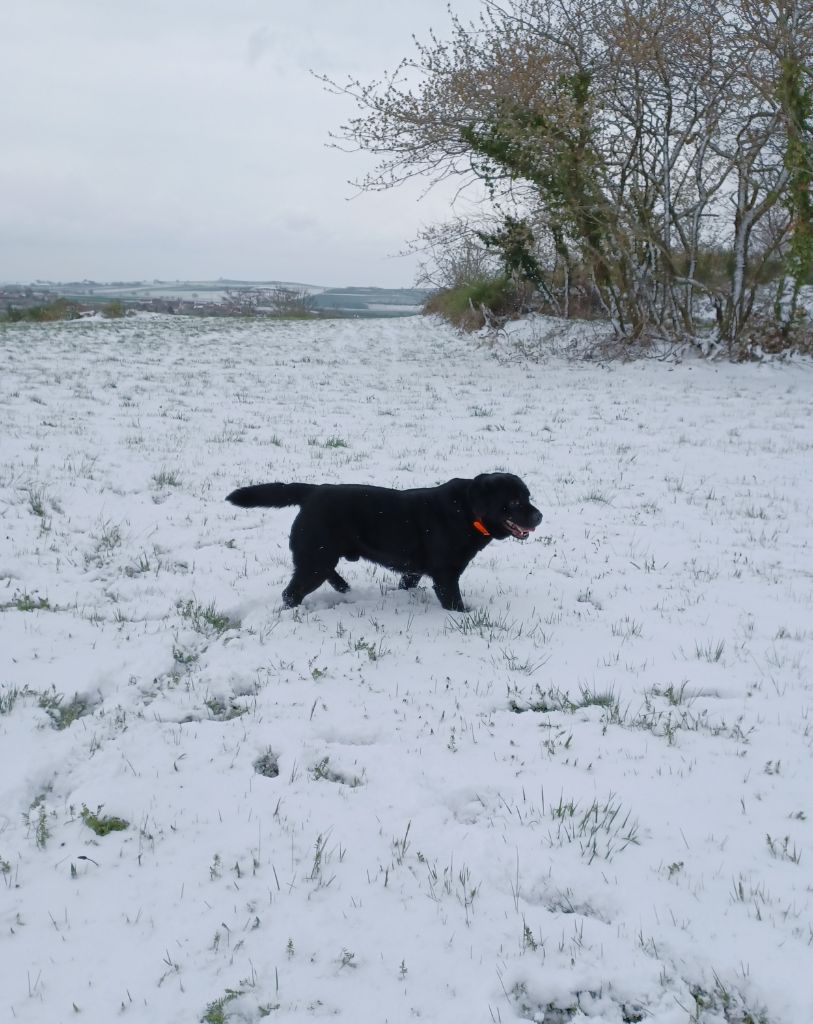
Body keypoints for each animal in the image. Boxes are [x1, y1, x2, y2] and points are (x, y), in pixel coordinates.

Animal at [226, 472, 542, 611]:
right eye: (515, 502)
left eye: (528, 496)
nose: (539, 516)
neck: (467, 510)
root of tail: (312, 491)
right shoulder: (446, 574)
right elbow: (453, 601)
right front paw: (464, 615)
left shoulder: (415, 570)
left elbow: (407, 582)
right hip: (316, 557)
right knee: (291, 592)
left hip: (320, 555)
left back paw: (344, 587)